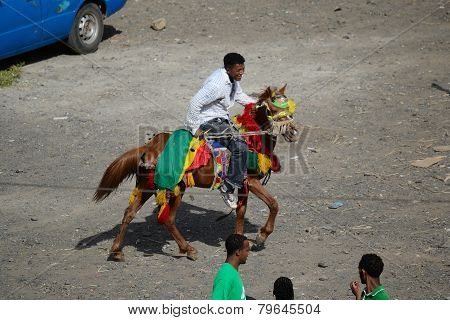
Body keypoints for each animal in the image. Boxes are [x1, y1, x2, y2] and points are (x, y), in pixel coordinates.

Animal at [93, 85, 300, 262]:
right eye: (273, 109)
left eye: (290, 110)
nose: (294, 132)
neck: (251, 138)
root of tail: (148, 148)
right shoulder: (251, 181)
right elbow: (273, 204)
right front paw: (261, 236)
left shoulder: (242, 184)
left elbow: (241, 211)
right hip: (174, 188)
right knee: (167, 219)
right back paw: (188, 249)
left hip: (148, 186)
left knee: (130, 212)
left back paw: (116, 251)